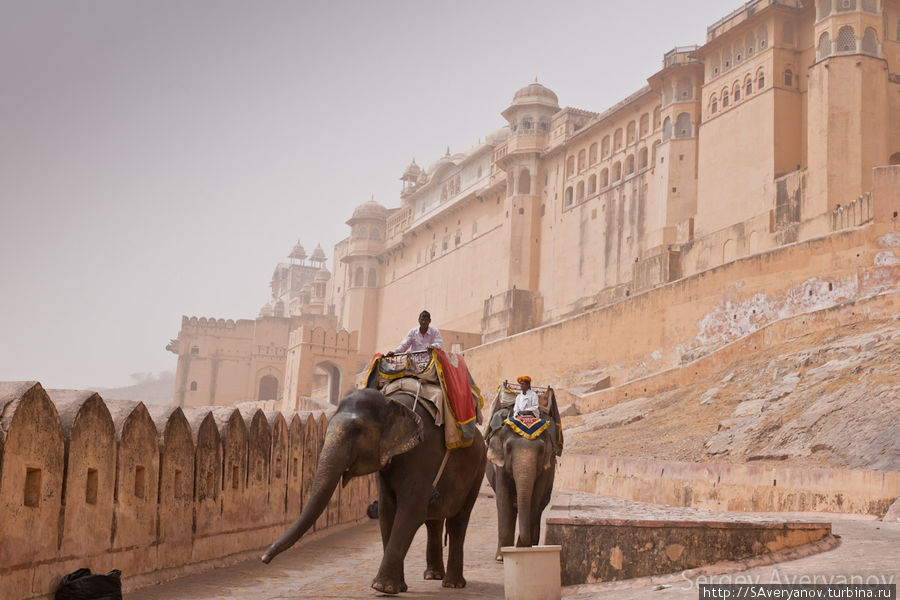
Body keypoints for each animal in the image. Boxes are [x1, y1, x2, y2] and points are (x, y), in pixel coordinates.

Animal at [260, 386, 486, 592]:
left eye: (357, 430)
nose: (264, 558)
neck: (393, 402)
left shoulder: (423, 454)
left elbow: (410, 511)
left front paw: (382, 587)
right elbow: (387, 511)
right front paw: (397, 587)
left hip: (478, 471)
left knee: (458, 521)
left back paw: (453, 584)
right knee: (434, 521)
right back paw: (433, 576)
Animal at [486, 418, 556, 564]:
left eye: (541, 450)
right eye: (508, 448)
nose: (521, 546)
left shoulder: (545, 470)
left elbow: (534, 500)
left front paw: (521, 550)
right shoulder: (500, 468)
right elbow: (503, 501)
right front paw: (501, 557)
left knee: (539, 510)